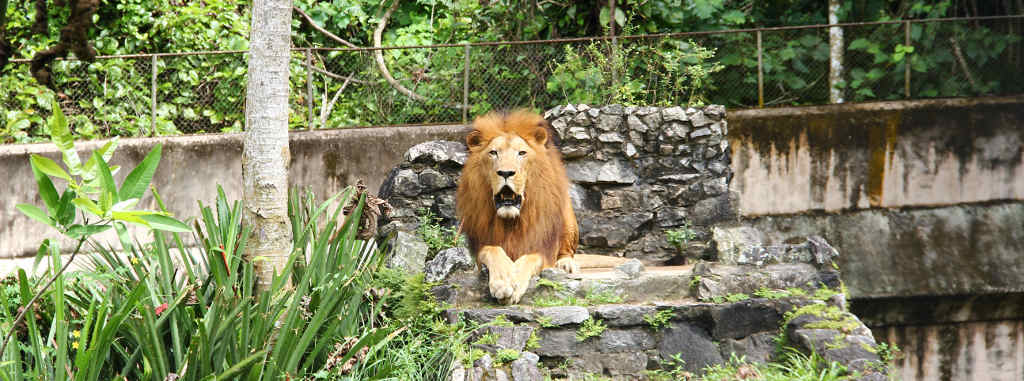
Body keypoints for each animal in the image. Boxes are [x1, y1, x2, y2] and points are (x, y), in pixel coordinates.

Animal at [454, 109, 622, 303]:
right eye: (493, 152)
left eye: (521, 153)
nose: (506, 172)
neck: (511, 220)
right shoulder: (481, 249)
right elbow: (492, 250)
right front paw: (503, 282)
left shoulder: (543, 249)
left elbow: (529, 259)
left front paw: (515, 283)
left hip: (568, 218)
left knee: (567, 252)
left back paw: (565, 265)